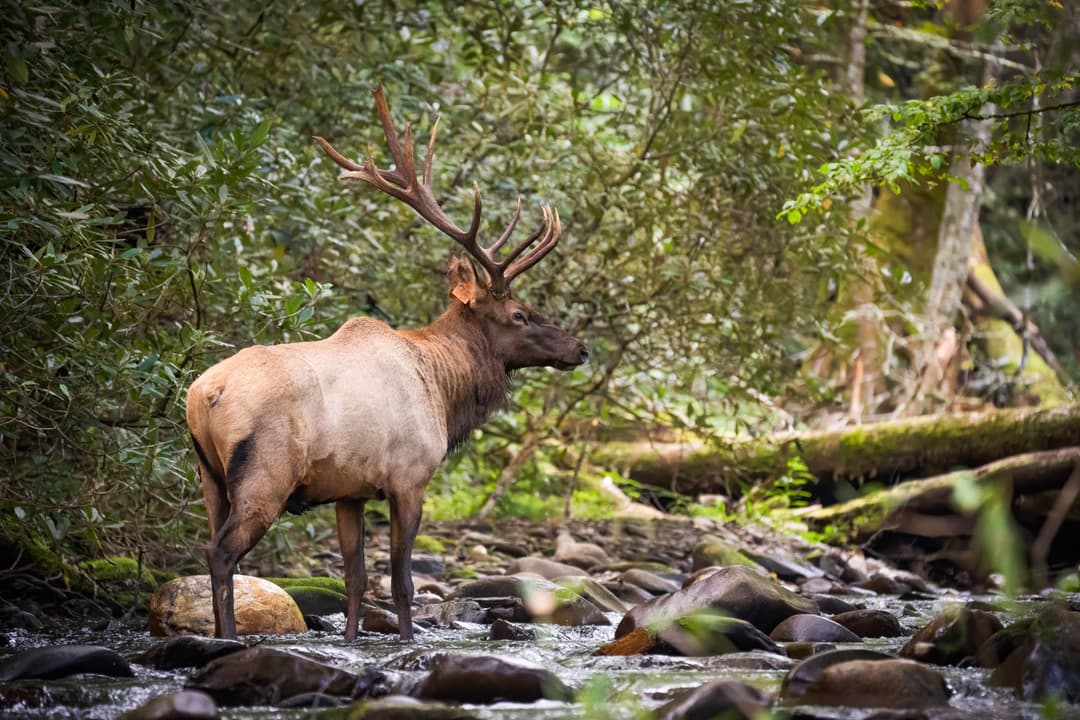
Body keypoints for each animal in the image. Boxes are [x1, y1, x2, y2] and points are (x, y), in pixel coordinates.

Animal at [185, 86, 587, 642]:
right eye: (519, 314)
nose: (579, 348)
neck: (445, 389)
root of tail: (203, 395)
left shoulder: (349, 491)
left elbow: (354, 578)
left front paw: (354, 640)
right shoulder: (409, 477)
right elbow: (401, 582)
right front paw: (407, 638)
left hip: (208, 477)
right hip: (265, 473)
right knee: (221, 553)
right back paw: (225, 639)